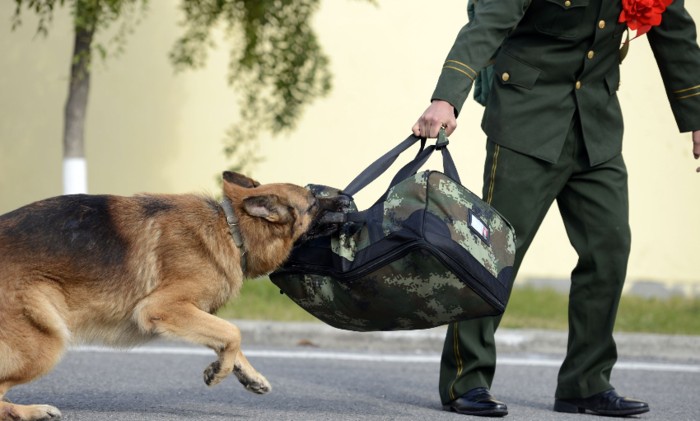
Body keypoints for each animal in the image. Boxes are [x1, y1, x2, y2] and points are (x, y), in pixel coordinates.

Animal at [0, 171, 336, 420]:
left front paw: (247, 374)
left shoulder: (193, 312)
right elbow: (233, 332)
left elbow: (226, 337)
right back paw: (30, 411)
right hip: (47, 342)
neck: (231, 229)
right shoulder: (162, 308)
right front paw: (220, 372)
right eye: (314, 200)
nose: (344, 197)